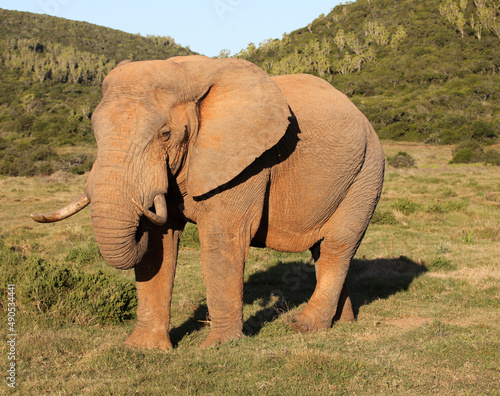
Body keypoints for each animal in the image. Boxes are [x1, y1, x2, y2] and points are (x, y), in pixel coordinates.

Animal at [33, 55, 384, 350]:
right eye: (94, 130)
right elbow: (160, 245)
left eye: (165, 134)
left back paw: (305, 326)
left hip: (367, 173)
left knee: (337, 247)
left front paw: (216, 348)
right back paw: (343, 322)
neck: (187, 75)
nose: (138, 218)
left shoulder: (246, 163)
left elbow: (222, 238)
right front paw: (144, 349)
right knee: (322, 250)